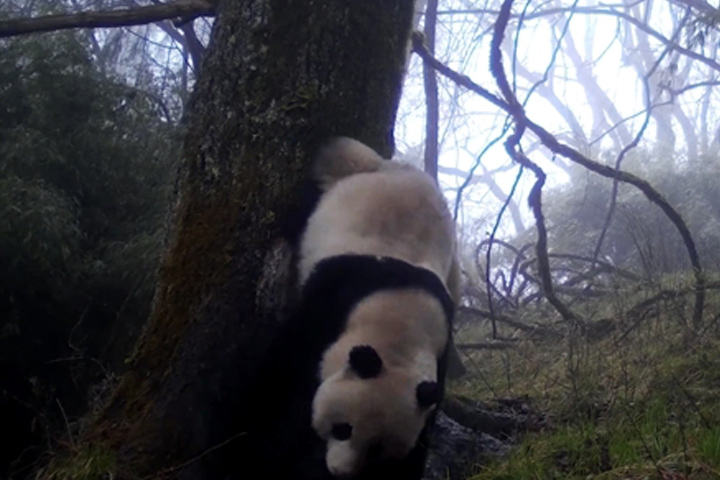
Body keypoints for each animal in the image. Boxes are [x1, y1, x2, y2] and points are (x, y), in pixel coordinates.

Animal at [236, 138, 462, 480]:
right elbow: (283, 374)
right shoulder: (332, 298)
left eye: (376, 449)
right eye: (343, 428)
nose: (339, 471)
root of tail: (386, 166)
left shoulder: (440, 347)